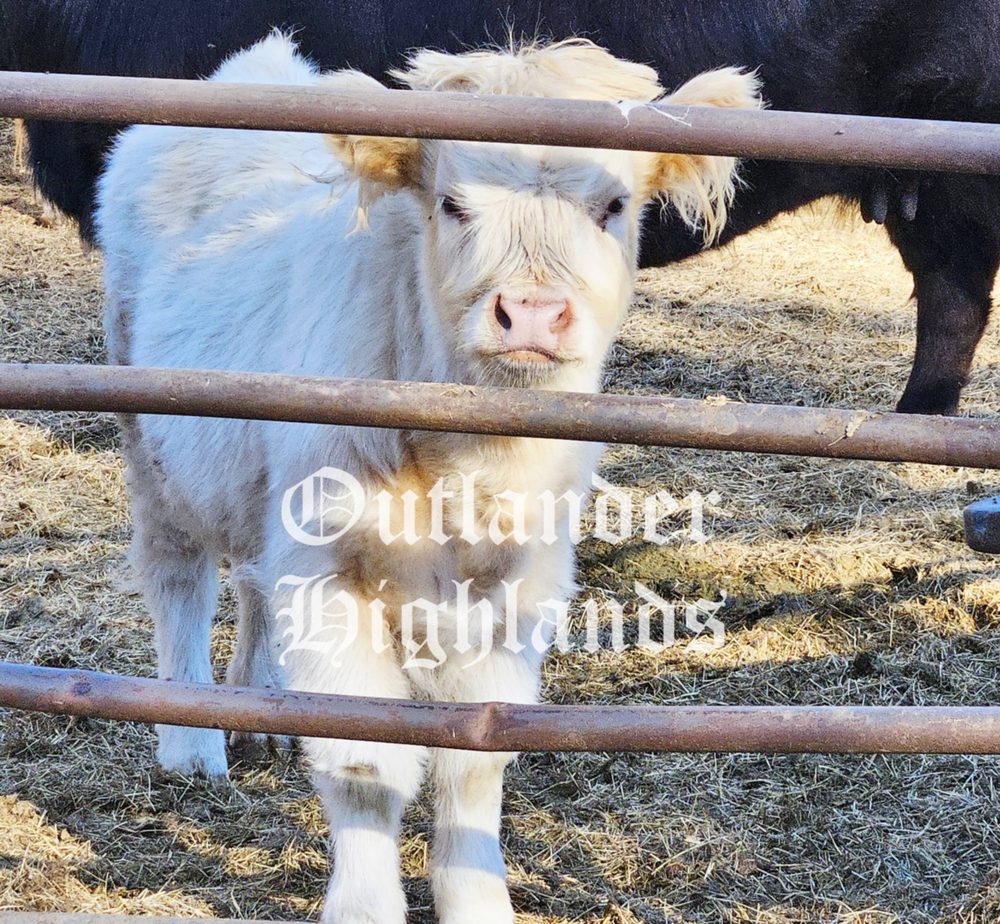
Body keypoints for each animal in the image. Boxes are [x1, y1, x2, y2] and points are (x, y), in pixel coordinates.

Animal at [95, 32, 760, 923]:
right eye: (453, 204)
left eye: (612, 205)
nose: (532, 314)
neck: (469, 470)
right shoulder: (331, 574)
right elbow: (365, 766)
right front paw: (363, 905)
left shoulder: (519, 588)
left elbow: (476, 760)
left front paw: (478, 901)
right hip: (151, 442)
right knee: (179, 580)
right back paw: (192, 741)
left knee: (253, 582)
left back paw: (261, 708)